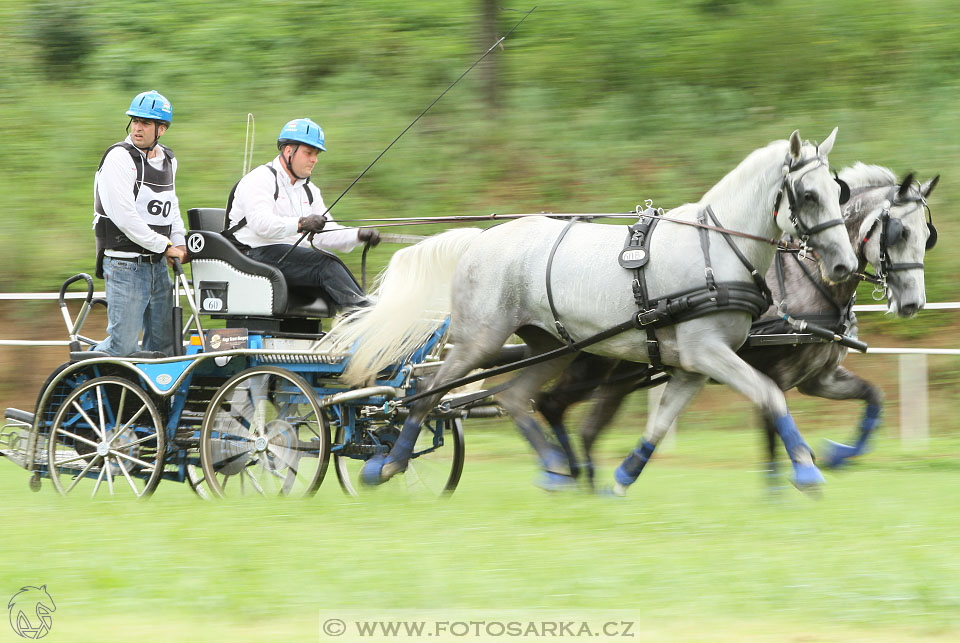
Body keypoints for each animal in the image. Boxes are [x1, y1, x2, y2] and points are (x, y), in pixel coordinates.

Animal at [322, 130, 856, 494]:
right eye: (809, 195)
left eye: (840, 192)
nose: (845, 265)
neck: (717, 250)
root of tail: (480, 238)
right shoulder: (707, 353)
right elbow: (771, 394)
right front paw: (807, 468)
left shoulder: (693, 366)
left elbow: (659, 425)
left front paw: (620, 480)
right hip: (480, 340)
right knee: (426, 392)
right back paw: (386, 464)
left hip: (551, 346)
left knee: (515, 397)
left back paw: (557, 471)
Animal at [536, 164, 940, 486]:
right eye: (900, 233)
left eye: (927, 237)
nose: (913, 303)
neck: (809, 280)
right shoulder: (772, 373)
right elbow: (772, 435)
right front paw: (788, 484)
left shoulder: (818, 378)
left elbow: (874, 397)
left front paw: (838, 455)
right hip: (592, 365)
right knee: (550, 404)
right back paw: (561, 474)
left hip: (619, 376)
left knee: (585, 427)